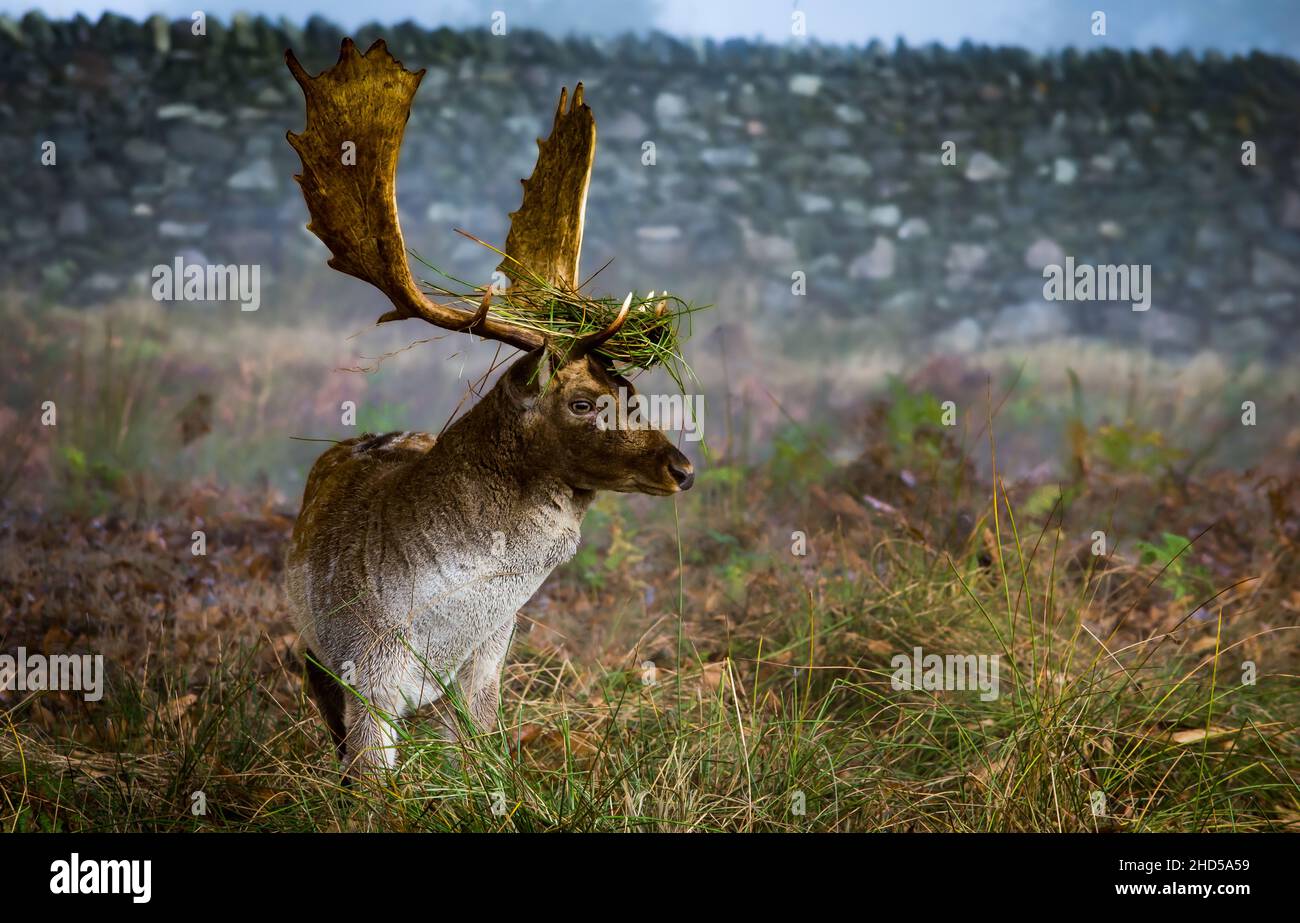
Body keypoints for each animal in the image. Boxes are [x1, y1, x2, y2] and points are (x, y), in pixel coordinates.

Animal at [280, 41, 696, 780]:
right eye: (582, 401)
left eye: (633, 392)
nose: (682, 468)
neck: (441, 623)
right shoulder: (366, 669)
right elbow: (373, 786)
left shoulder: (485, 662)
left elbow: (480, 764)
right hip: (313, 652)